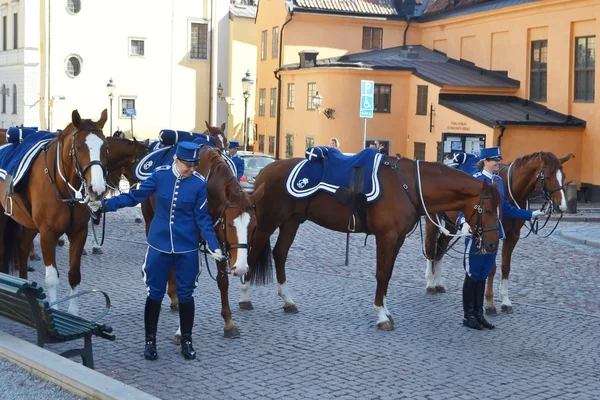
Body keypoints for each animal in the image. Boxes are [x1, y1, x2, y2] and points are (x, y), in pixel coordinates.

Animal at [0, 110, 109, 316]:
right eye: (79, 148)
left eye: (105, 147)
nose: (97, 189)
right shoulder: (48, 234)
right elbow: (52, 278)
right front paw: (53, 309)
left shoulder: (79, 232)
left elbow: (74, 275)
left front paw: (73, 314)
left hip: (29, 224)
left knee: (22, 249)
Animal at [240, 155, 502, 330]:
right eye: (488, 209)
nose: (492, 245)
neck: (409, 185)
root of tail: (265, 171)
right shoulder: (386, 236)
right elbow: (382, 274)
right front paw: (381, 315)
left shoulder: (397, 239)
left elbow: (388, 273)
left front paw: (385, 309)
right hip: (267, 223)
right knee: (252, 255)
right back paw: (244, 298)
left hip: (291, 221)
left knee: (280, 254)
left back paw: (287, 300)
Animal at [422, 152, 572, 314]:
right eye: (549, 176)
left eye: (563, 176)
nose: (562, 207)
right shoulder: (494, 235)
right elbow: (491, 268)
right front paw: (489, 302)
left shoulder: (512, 236)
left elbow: (505, 267)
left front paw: (505, 301)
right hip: (432, 221)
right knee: (430, 247)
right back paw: (430, 283)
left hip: (451, 225)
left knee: (441, 247)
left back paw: (438, 282)